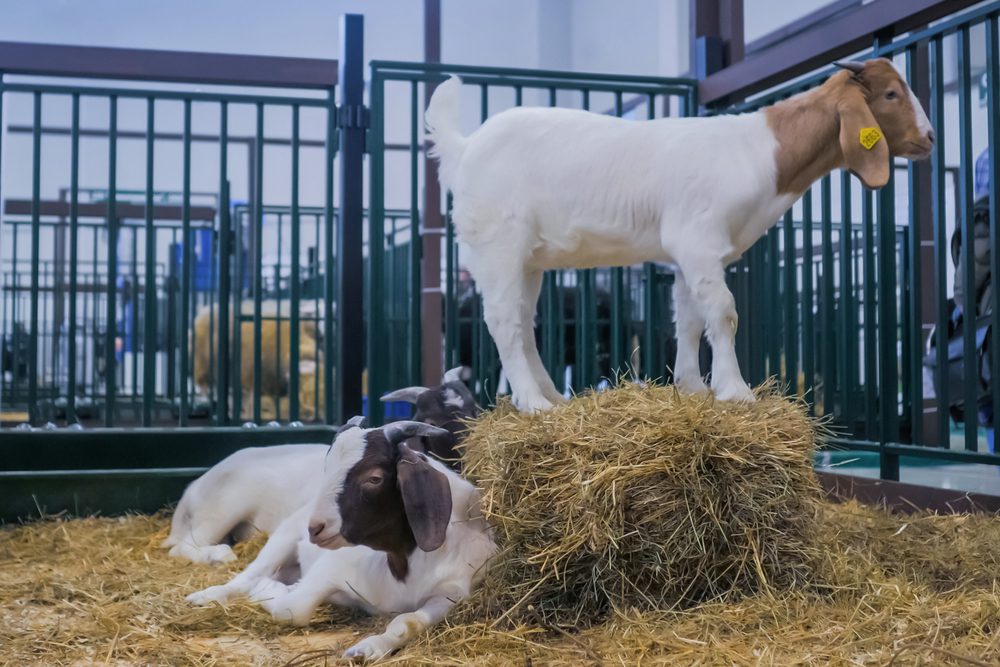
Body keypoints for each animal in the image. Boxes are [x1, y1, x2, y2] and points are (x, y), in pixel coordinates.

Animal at [185, 422, 496, 664]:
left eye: (374, 478)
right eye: (327, 468)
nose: (315, 528)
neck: (400, 562)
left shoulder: (450, 595)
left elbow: (408, 622)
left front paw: (367, 649)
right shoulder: (331, 569)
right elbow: (293, 607)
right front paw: (267, 589)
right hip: (282, 536)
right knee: (246, 575)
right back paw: (208, 594)